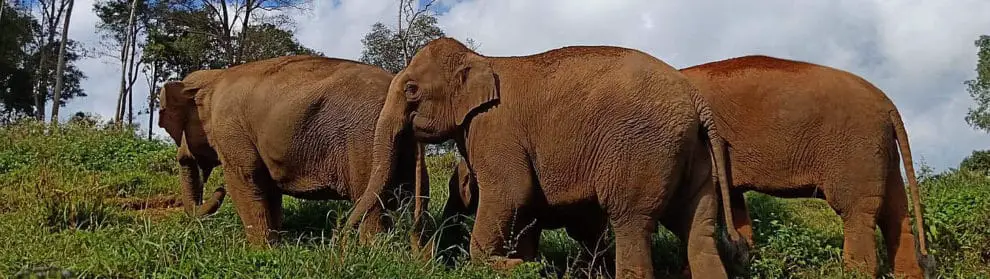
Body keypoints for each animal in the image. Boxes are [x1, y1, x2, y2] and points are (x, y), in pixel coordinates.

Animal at [158, 55, 430, 249]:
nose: (217, 190)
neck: (214, 78)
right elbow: (268, 190)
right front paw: (275, 246)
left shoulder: (230, 129)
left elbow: (244, 181)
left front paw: (260, 251)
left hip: (364, 139)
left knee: (371, 200)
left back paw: (369, 252)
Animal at [344, 37, 740, 279]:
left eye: (411, 90)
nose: (340, 239)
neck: (480, 59)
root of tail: (694, 97)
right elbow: (525, 208)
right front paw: (526, 262)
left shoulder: (495, 128)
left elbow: (511, 192)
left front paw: (511, 265)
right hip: (693, 154)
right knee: (697, 227)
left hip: (644, 148)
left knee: (632, 222)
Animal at [680, 55, 932, 278]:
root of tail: (888, 104)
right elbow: (734, 201)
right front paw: (745, 263)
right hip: (883, 151)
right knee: (895, 211)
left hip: (858, 149)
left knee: (856, 211)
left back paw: (854, 274)